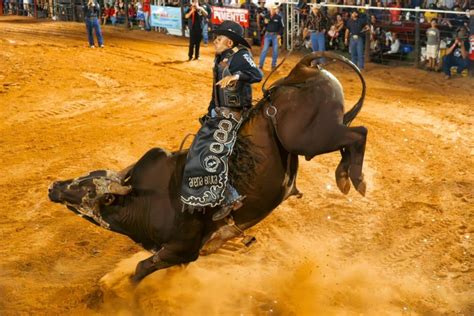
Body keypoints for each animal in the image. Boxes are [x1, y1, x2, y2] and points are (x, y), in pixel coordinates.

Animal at [47, 51, 366, 282]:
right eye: (83, 176)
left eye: (87, 189)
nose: (53, 187)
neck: (148, 200)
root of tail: (303, 68)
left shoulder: (181, 249)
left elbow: (140, 270)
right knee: (352, 137)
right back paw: (346, 174)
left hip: (311, 138)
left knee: (358, 133)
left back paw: (352, 178)